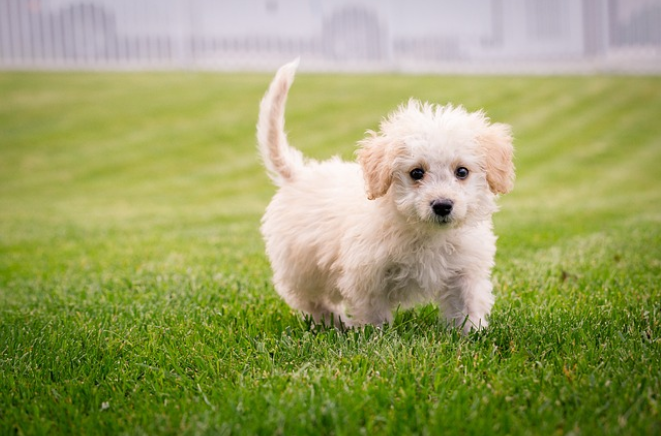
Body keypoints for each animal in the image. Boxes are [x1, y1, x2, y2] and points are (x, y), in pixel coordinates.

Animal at [255, 60, 512, 334]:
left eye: (462, 172)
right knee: (311, 300)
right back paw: (337, 324)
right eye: (416, 172)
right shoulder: (366, 276)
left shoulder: (465, 271)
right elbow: (373, 314)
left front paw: (473, 334)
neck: (425, 233)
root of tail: (298, 173)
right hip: (301, 269)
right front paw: (375, 336)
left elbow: (468, 306)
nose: (442, 205)